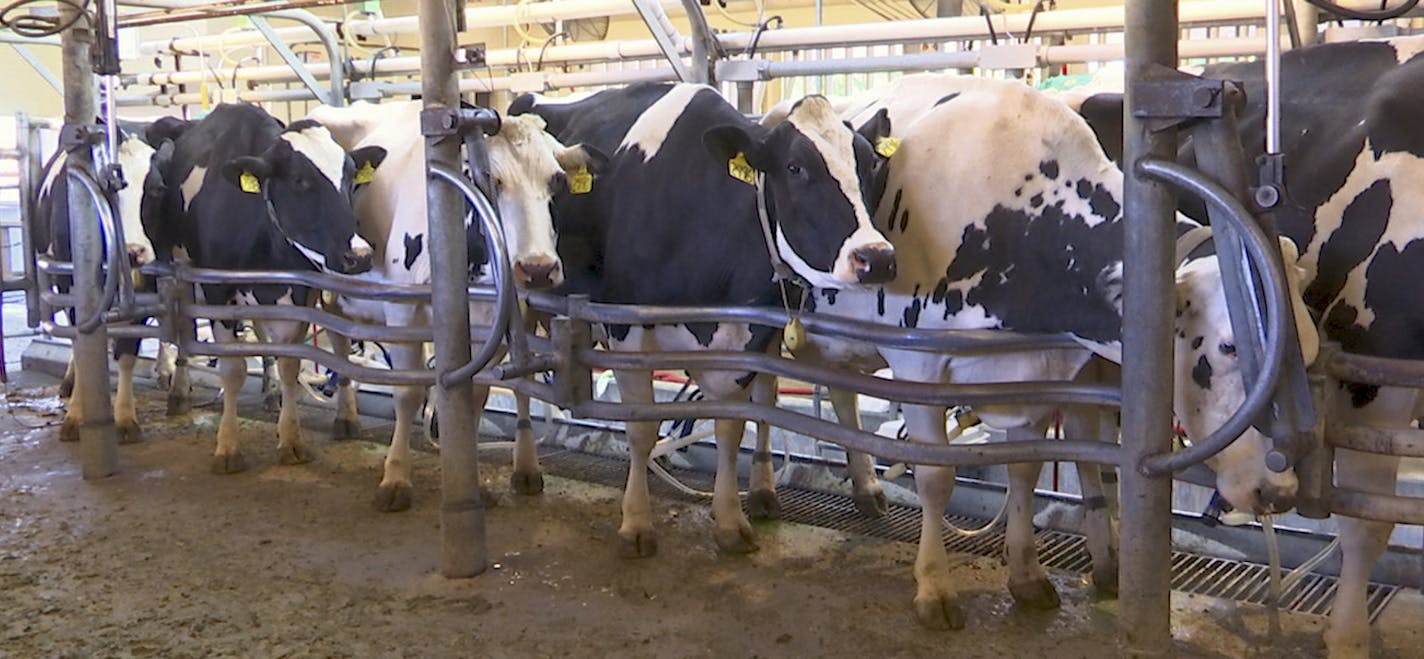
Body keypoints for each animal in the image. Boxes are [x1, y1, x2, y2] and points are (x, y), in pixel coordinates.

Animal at [144, 101, 384, 475]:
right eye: (300, 180)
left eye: (349, 177)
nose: (358, 255)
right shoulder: (216, 291)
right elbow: (232, 370)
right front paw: (228, 448)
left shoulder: (300, 292)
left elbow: (290, 365)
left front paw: (291, 440)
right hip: (174, 269)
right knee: (181, 329)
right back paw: (178, 392)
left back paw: (279, 396)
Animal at [306, 98, 600, 509]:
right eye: (489, 179)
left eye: (556, 180)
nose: (538, 268)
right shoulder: (402, 310)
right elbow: (407, 393)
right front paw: (395, 478)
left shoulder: (491, 321)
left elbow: (475, 395)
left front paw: (470, 476)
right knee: (335, 341)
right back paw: (344, 418)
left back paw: (525, 467)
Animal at [518, 82, 894, 557]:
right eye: (795, 167)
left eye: (870, 165)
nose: (876, 257)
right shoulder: (626, 328)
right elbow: (642, 429)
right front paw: (636, 523)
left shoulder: (748, 335)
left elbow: (732, 426)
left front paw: (731, 520)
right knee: (520, 379)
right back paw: (525, 470)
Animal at [774, 74, 1315, 631]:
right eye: (1229, 346)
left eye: (1311, 352)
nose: (1278, 492)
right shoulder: (918, 364)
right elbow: (935, 477)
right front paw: (934, 588)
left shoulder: (1035, 370)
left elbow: (1025, 473)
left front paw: (1027, 577)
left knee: (840, 393)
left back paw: (865, 488)